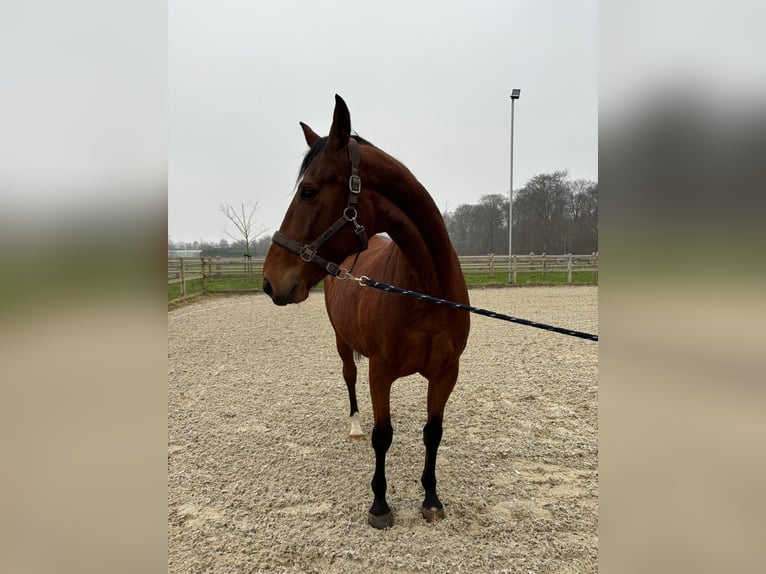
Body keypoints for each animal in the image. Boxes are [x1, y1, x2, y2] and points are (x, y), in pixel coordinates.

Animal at [260, 94, 472, 532]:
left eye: (308, 191)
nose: (270, 281)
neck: (424, 289)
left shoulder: (446, 373)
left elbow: (433, 432)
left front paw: (431, 498)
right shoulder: (380, 371)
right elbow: (382, 435)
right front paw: (380, 504)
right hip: (343, 344)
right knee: (349, 379)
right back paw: (355, 426)